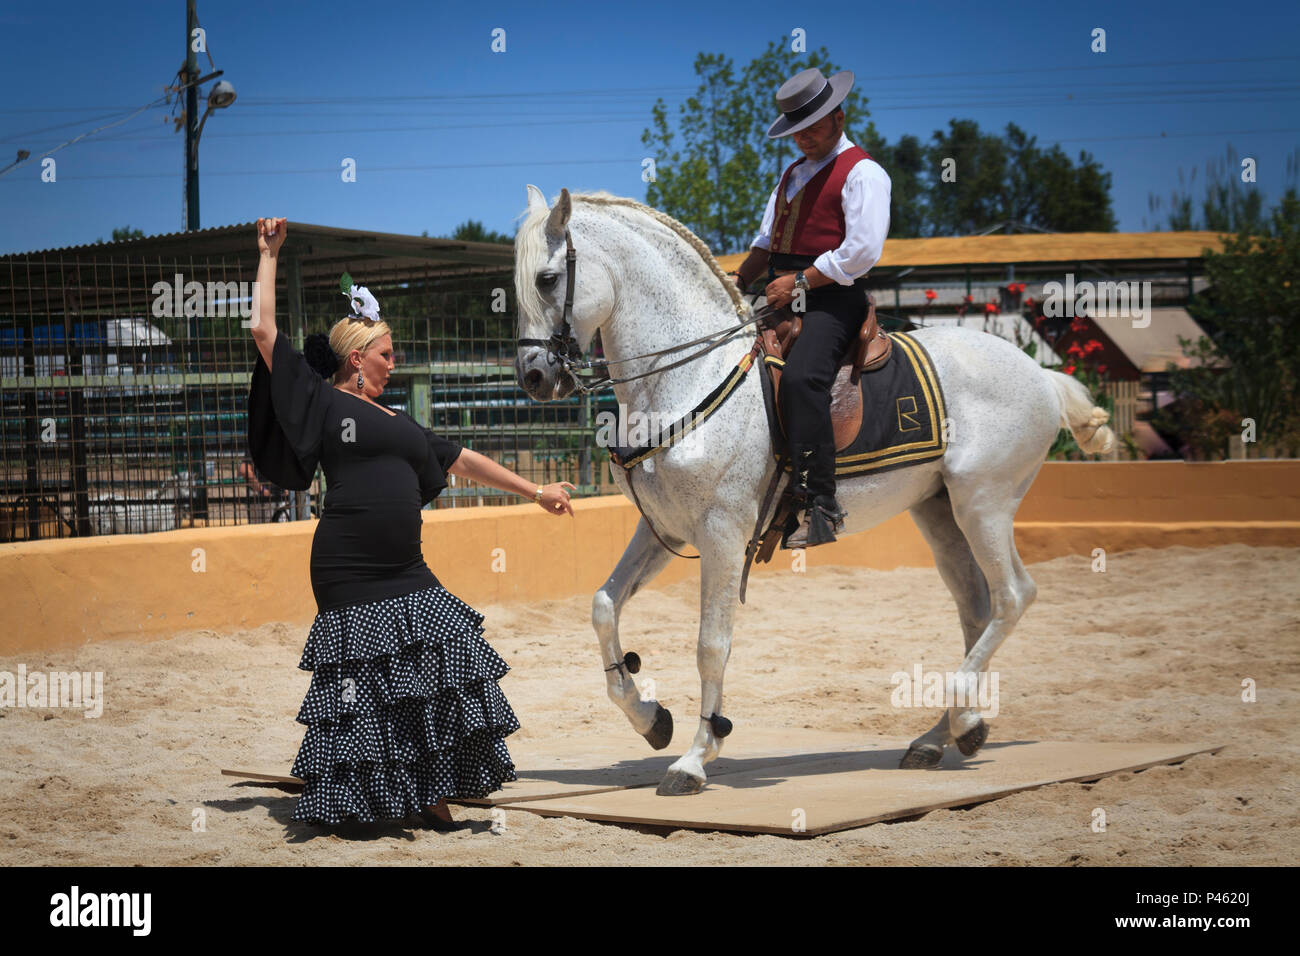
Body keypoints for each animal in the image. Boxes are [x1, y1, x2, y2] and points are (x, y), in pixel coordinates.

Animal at [512, 183, 1112, 796]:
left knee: (1013, 596)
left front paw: (695, 758)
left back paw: (963, 715)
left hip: (983, 504)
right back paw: (945, 734)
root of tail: (1041, 375)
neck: (689, 377)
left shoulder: (722, 532)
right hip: (940, 512)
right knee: (977, 607)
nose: (532, 376)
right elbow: (604, 606)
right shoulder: (663, 530)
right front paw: (650, 718)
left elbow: (710, 645)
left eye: (548, 279)